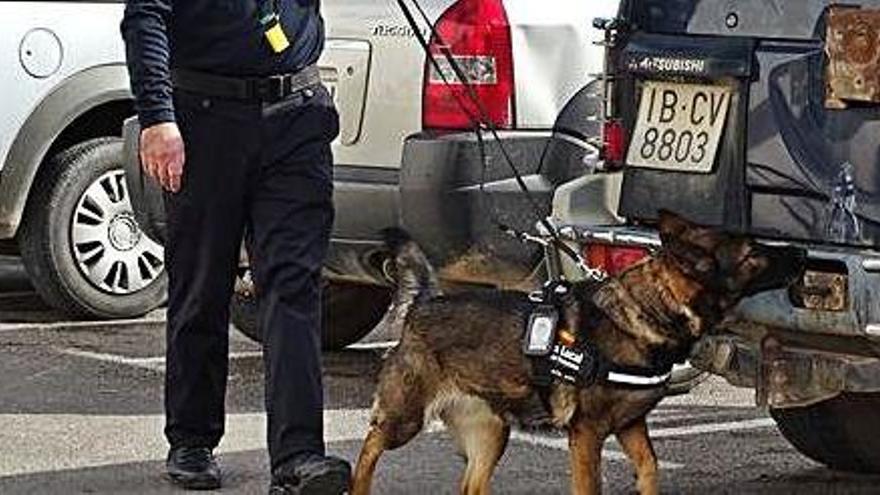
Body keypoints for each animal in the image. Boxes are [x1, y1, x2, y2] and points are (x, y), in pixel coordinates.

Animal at [350, 212, 804, 495]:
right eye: (753, 254)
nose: (800, 253)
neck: (645, 309)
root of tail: (424, 303)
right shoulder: (586, 434)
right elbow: (592, 486)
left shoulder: (631, 426)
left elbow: (650, 469)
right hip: (404, 418)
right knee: (369, 446)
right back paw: (356, 482)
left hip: (492, 432)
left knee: (471, 486)